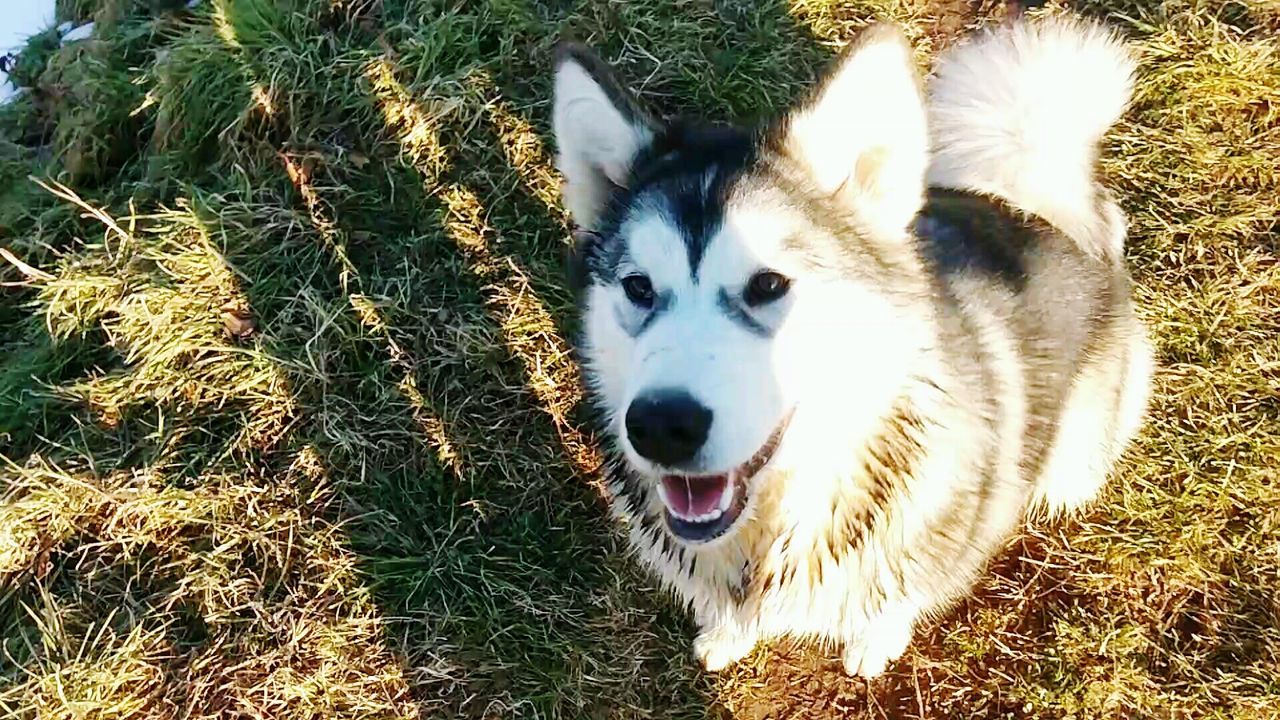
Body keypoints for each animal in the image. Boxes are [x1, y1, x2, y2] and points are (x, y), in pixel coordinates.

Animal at [550, 18, 1152, 676]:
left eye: (769, 284)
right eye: (638, 286)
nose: (661, 426)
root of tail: (1039, 210)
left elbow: (894, 598)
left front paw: (873, 642)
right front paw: (727, 634)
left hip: (1076, 461)